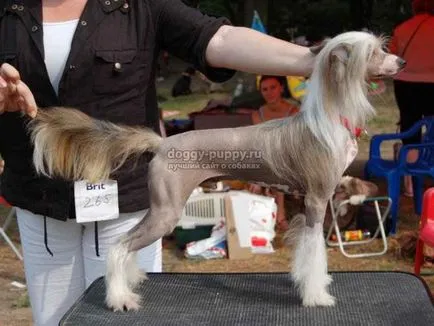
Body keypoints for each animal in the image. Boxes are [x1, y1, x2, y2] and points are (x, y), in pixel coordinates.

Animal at [29, 32, 404, 310]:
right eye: (374, 52)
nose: (401, 61)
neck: (327, 120)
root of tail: (161, 142)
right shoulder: (316, 201)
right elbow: (314, 252)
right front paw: (317, 296)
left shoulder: (309, 202)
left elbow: (306, 252)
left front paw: (311, 284)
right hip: (167, 211)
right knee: (119, 246)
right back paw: (120, 298)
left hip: (161, 208)